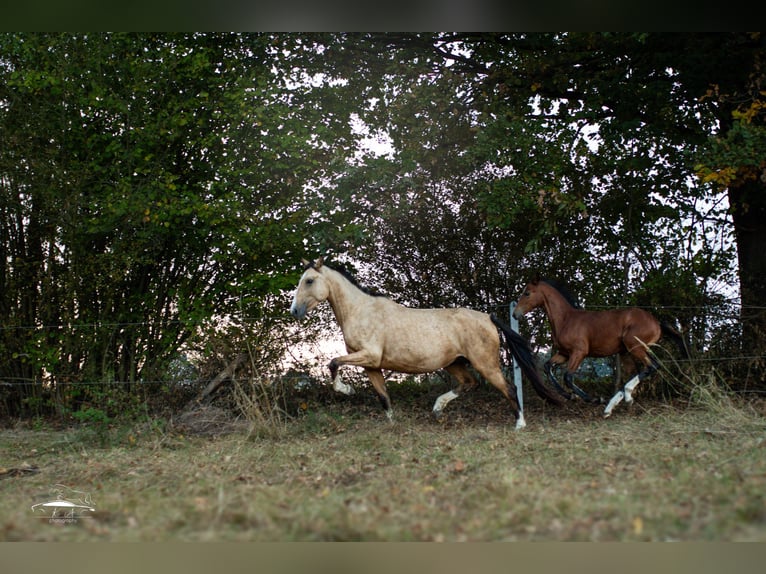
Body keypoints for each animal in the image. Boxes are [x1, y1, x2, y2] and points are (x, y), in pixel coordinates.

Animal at [289, 258, 563, 429]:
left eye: (309, 281)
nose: (294, 311)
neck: (361, 311)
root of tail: (487, 316)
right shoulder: (372, 366)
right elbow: (383, 397)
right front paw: (392, 423)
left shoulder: (369, 356)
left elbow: (333, 362)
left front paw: (346, 390)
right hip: (455, 363)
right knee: (470, 383)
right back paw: (438, 408)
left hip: (485, 363)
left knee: (509, 388)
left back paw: (519, 424)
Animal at [512, 278, 689, 417]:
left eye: (527, 293)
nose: (515, 314)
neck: (566, 320)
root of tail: (657, 322)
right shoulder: (564, 354)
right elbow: (548, 367)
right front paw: (570, 396)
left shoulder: (579, 352)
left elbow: (568, 377)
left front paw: (593, 399)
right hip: (627, 353)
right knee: (637, 372)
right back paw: (615, 404)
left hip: (635, 347)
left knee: (652, 365)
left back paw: (619, 399)